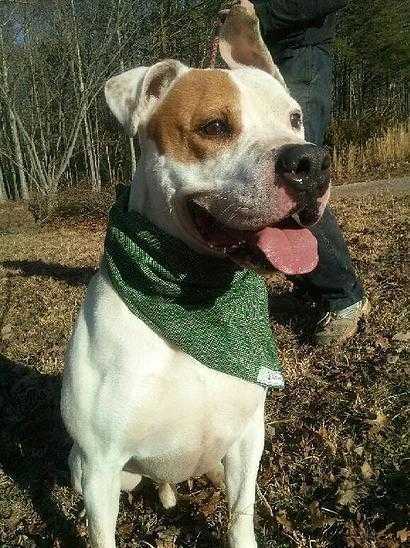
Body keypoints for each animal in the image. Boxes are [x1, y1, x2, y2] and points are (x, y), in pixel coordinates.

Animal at [60, 5, 330, 548]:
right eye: (214, 126)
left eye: (294, 119)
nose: (310, 161)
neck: (196, 300)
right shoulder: (100, 464)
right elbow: (103, 532)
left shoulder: (248, 439)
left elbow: (240, 513)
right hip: (96, 470)